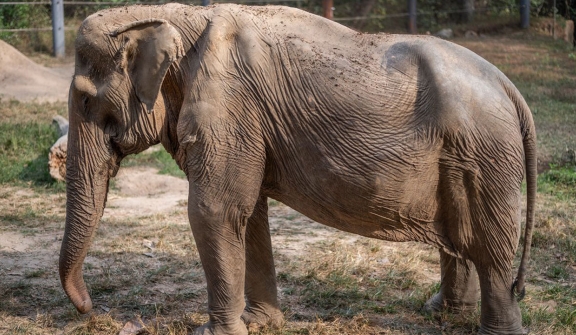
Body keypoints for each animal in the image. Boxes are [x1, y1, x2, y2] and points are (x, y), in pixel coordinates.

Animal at [58, 3, 536, 335]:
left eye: (85, 100)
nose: (91, 309)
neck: (177, 16)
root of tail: (511, 89)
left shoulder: (229, 107)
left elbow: (214, 211)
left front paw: (214, 332)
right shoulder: (246, 122)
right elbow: (248, 214)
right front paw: (261, 324)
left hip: (485, 155)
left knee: (489, 246)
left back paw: (492, 329)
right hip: (466, 156)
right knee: (462, 236)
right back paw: (440, 312)